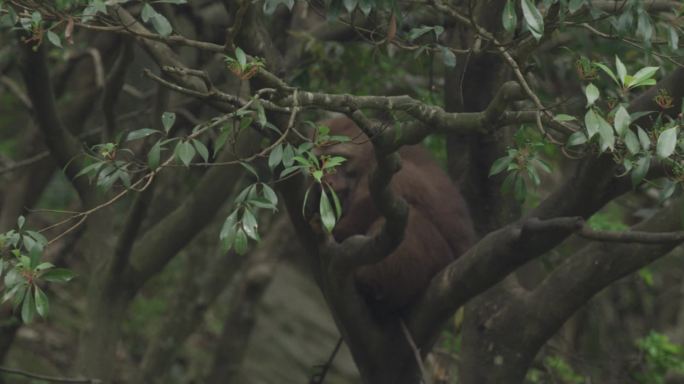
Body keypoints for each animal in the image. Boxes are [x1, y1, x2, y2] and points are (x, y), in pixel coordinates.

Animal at [316, 118, 476, 316]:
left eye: (337, 159)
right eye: (320, 162)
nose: (326, 180)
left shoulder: (381, 171)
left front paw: (336, 231)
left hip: (441, 261)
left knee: (411, 216)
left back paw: (371, 283)